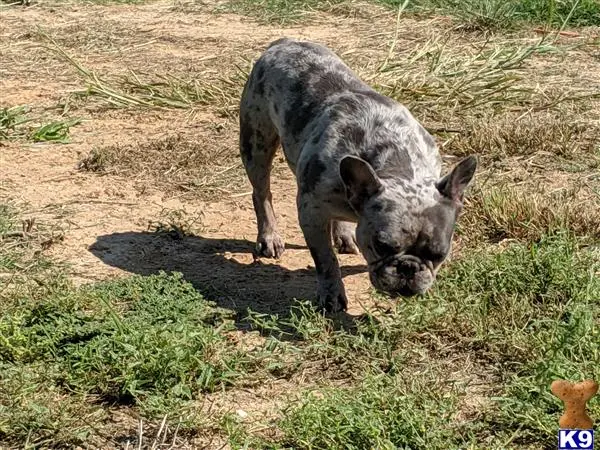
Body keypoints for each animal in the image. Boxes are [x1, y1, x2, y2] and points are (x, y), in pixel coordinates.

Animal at [237, 37, 476, 312]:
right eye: (381, 246)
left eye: (439, 254)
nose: (408, 268)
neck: (395, 162)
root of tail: (284, 42)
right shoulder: (310, 213)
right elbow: (325, 260)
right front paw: (331, 294)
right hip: (257, 142)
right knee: (261, 192)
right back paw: (269, 236)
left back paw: (344, 234)